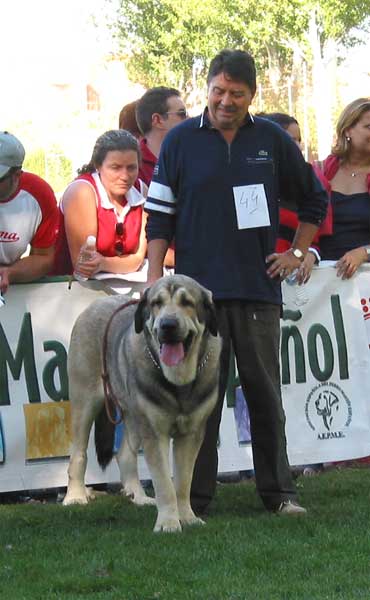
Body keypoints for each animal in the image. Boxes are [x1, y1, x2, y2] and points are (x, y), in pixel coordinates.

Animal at [62, 274, 223, 532]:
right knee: (78, 452)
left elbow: (183, 482)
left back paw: (137, 496)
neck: (177, 380)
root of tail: (97, 303)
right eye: (157, 303)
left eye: (187, 302)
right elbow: (164, 484)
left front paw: (187, 517)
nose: (168, 325)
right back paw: (75, 496)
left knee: (125, 454)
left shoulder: (191, 434)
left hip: (133, 415)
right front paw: (168, 523)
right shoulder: (155, 433)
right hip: (85, 401)